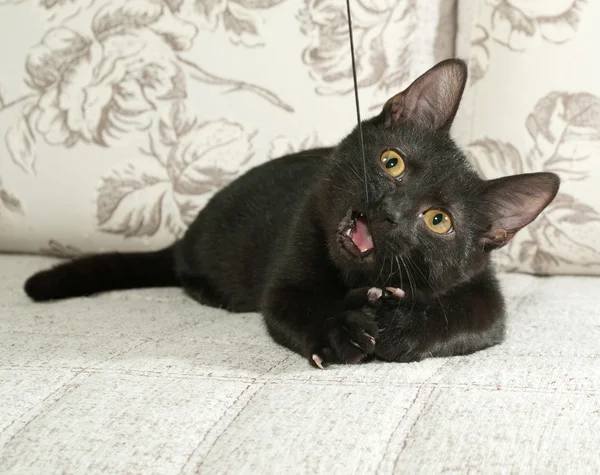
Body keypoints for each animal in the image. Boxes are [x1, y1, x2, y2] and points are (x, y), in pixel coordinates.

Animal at [22, 59, 556, 368]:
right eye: (393, 162)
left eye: (438, 221)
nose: (391, 211)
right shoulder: (293, 258)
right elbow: (295, 306)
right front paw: (341, 329)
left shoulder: (485, 296)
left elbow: (460, 319)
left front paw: (400, 328)